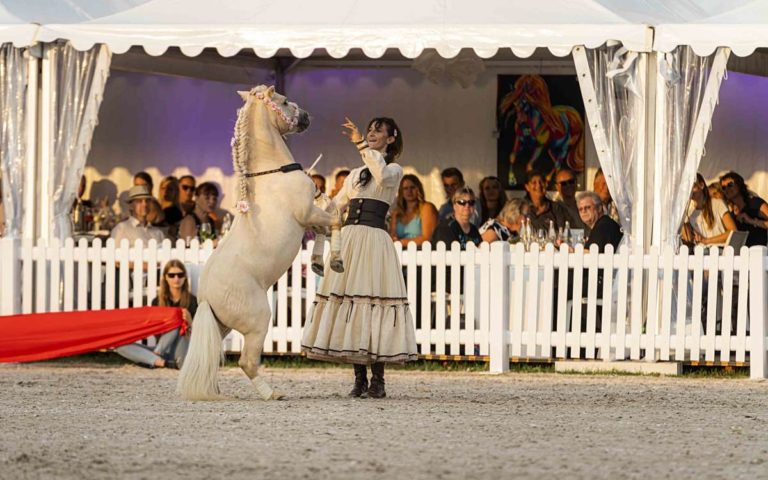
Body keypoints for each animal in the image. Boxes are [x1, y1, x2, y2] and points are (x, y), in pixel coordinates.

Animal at [179, 84, 340, 400]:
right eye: (285, 101)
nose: (307, 117)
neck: (274, 172)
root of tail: (205, 297)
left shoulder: (309, 219)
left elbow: (326, 227)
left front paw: (318, 262)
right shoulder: (307, 213)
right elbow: (336, 216)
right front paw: (335, 260)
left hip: (222, 326)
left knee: (215, 356)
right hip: (258, 322)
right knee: (247, 361)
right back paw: (272, 394)